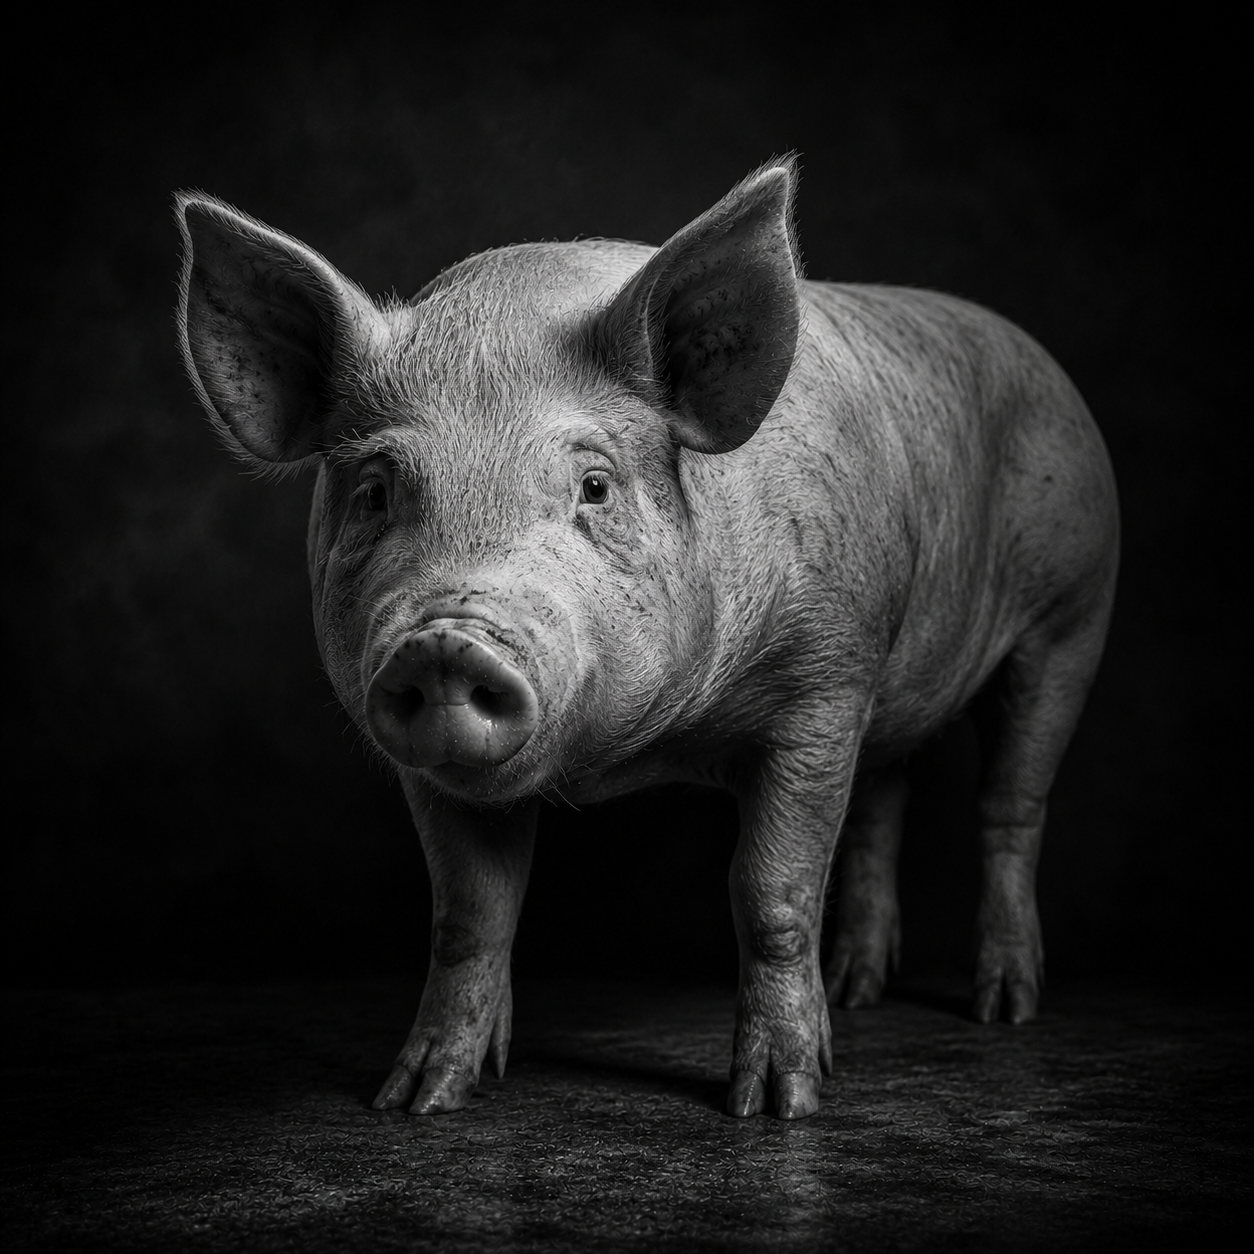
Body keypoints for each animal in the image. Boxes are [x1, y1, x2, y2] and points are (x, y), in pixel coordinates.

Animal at [175, 159, 1118, 1120]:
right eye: (374, 492)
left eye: (594, 485)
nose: (445, 641)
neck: (654, 752)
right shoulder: (431, 772)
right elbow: (468, 912)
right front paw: (420, 1098)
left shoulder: (825, 676)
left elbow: (772, 891)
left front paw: (778, 1106)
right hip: (902, 679)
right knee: (884, 799)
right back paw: (860, 990)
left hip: (1073, 613)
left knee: (1009, 805)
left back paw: (1004, 1008)